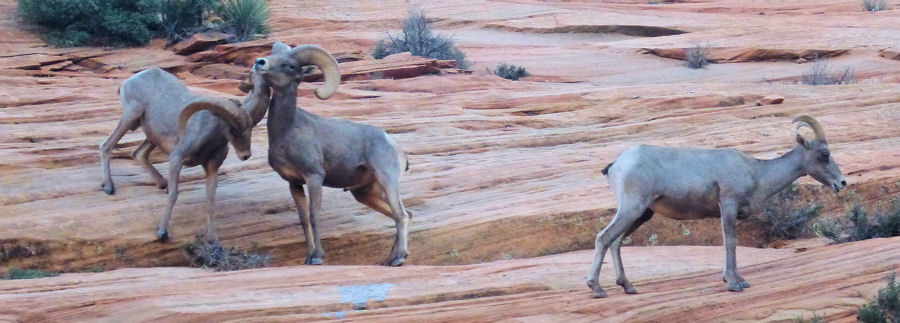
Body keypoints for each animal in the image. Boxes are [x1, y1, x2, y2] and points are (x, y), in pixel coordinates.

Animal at [99, 67, 268, 242]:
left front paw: (213, 240)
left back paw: (162, 183)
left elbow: (210, 199)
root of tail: (131, 80)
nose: (245, 155)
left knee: (139, 153)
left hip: (151, 136)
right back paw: (109, 187)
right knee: (106, 146)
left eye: (250, 128)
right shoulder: (176, 159)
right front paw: (162, 233)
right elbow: (174, 194)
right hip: (131, 116)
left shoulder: (212, 167)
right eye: (232, 129)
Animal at [250, 42, 412, 266]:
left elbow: (314, 216)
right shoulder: (294, 183)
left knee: (401, 214)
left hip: (386, 180)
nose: (260, 63)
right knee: (400, 215)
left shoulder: (314, 177)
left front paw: (318, 257)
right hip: (365, 193)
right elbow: (303, 220)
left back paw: (399, 258)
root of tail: (395, 146)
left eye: (290, 65)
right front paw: (308, 257)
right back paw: (390, 258)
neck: (287, 131)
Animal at [588, 116, 848, 298]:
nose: (842, 183)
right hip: (631, 208)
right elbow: (730, 242)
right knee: (604, 238)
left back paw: (628, 286)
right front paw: (734, 283)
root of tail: (616, 164)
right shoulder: (728, 205)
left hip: (642, 214)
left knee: (616, 242)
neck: (757, 173)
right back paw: (597, 288)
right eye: (824, 154)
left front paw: (737, 280)